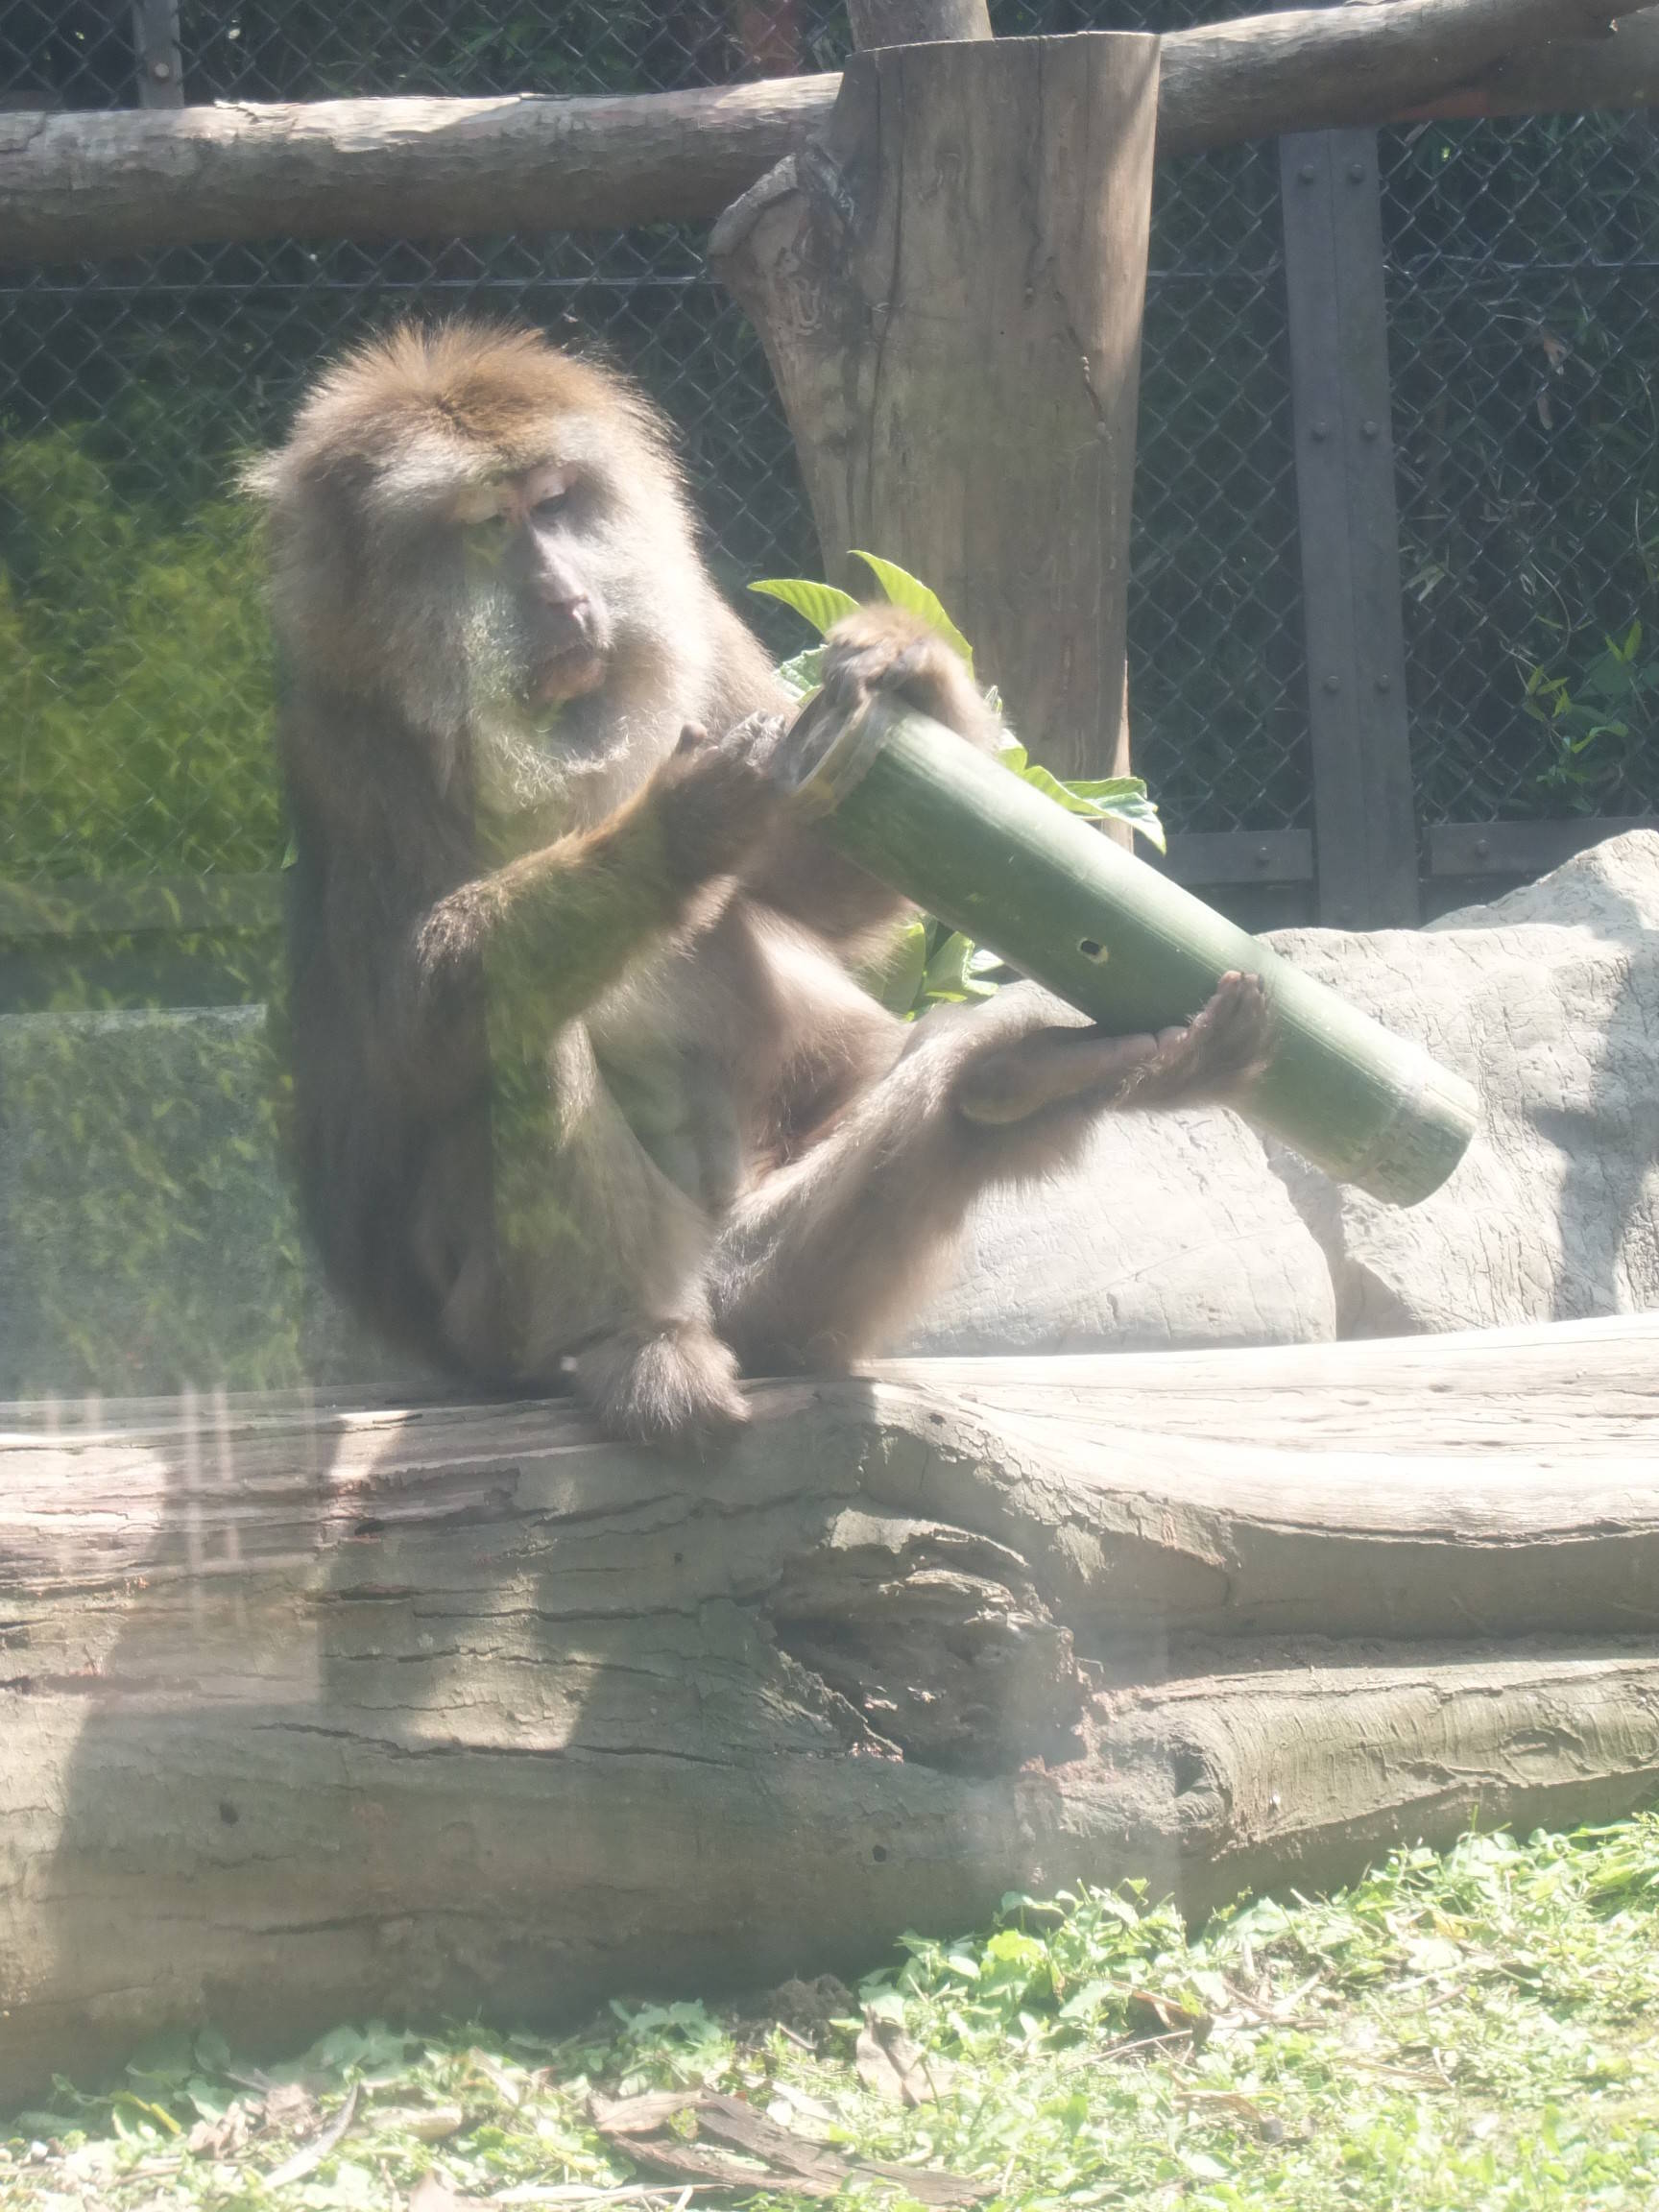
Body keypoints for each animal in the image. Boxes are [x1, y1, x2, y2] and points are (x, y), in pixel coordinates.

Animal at [246, 321, 1274, 1442]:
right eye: (487, 527)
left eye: (555, 504)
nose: (567, 596)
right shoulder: (342, 736)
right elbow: (413, 1017)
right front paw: (679, 829)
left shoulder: (698, 628)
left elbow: (827, 882)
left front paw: (912, 671)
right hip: (499, 1325)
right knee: (513, 1034)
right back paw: (629, 1343)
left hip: (769, 1276)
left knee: (891, 1143)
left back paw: (1006, 1086)